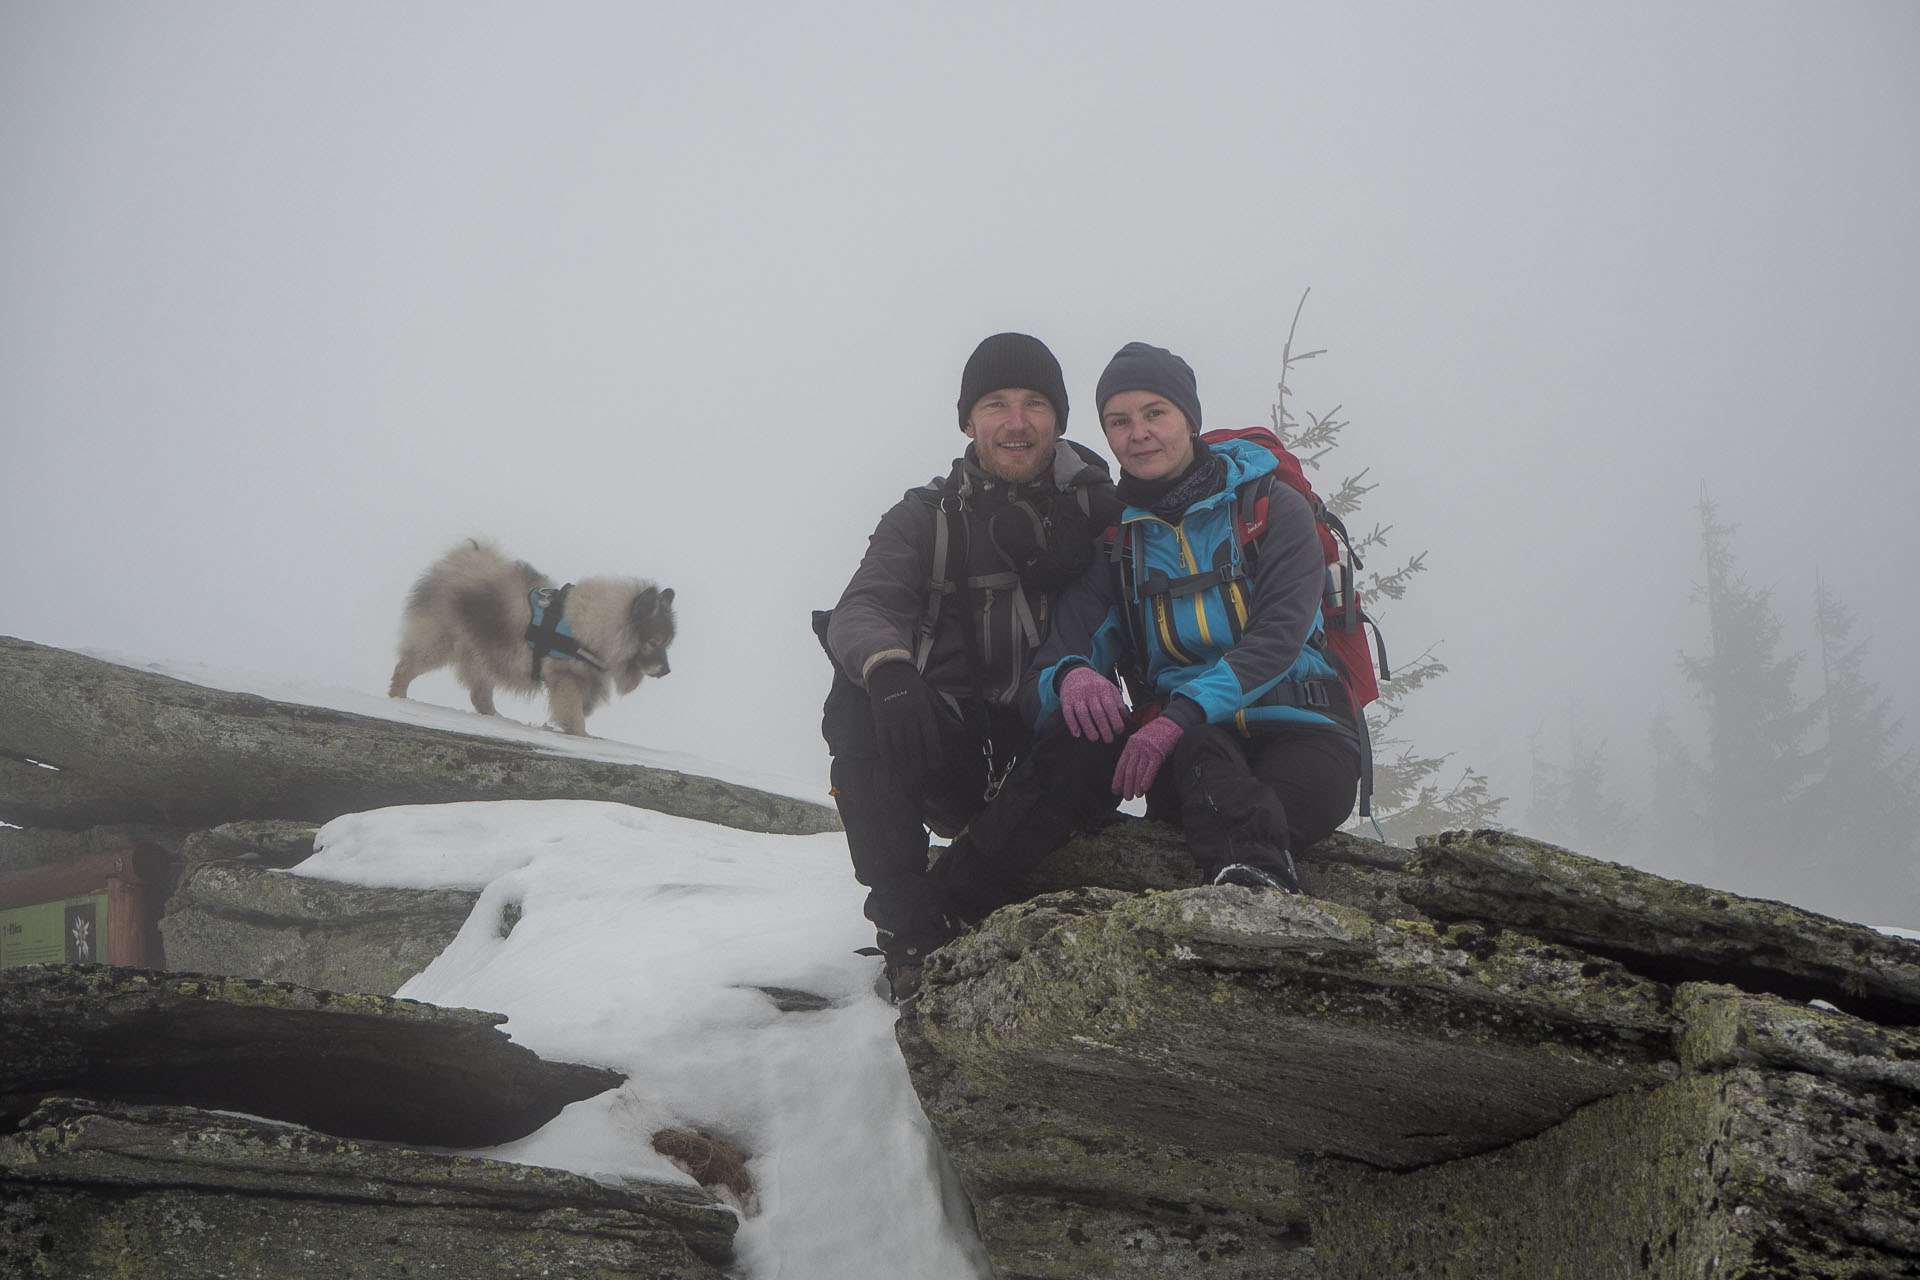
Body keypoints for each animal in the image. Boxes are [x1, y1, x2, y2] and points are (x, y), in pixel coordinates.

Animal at [385, 541, 679, 740]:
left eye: (666, 644)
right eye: (653, 641)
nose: (666, 670)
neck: (598, 627)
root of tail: (461, 558)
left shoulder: (584, 679)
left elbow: (583, 707)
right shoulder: (566, 678)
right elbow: (574, 713)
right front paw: (582, 734)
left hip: (486, 653)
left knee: (479, 695)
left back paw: (496, 716)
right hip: (442, 642)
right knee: (405, 667)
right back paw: (398, 697)